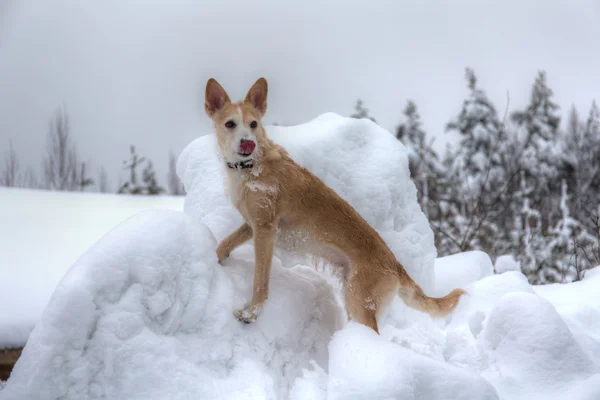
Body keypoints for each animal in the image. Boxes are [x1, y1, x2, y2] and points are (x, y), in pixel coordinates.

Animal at [204, 77, 466, 332]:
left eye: (253, 124)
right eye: (230, 124)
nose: (248, 144)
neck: (251, 168)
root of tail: (397, 266)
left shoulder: (266, 230)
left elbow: (260, 281)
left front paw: (251, 314)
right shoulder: (252, 225)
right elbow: (225, 243)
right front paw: (215, 259)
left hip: (359, 302)